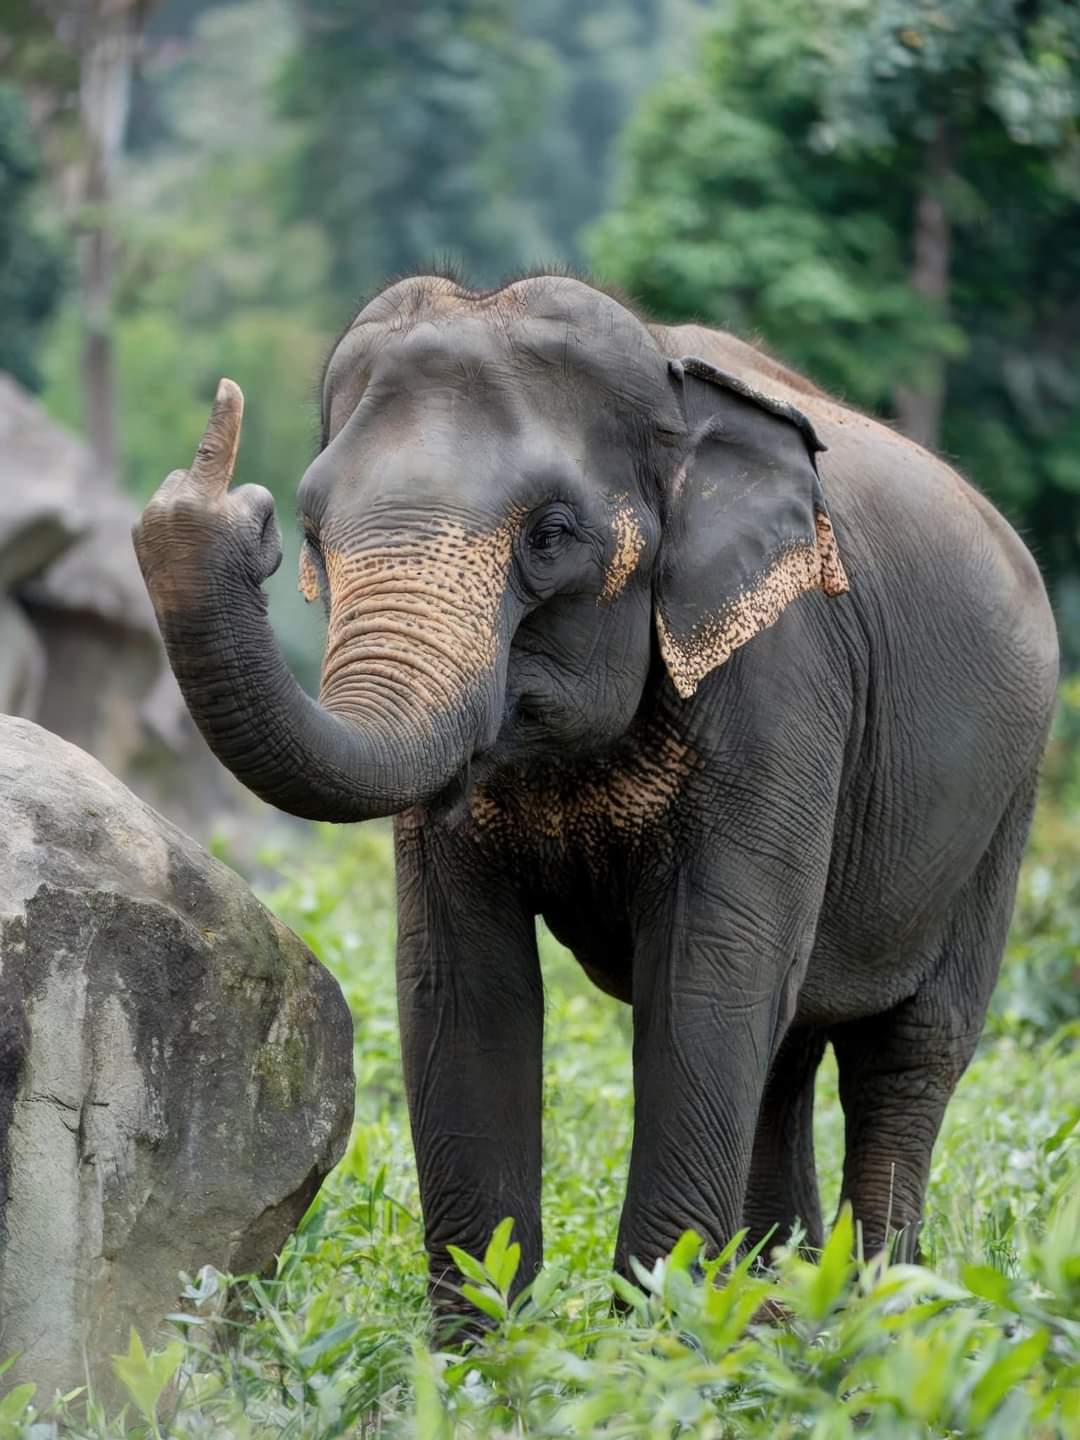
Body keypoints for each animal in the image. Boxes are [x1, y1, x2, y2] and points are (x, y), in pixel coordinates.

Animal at [133, 273, 1058, 1313]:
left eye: (551, 535)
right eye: (310, 532)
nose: (227, 507)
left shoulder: (786, 681)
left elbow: (709, 971)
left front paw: (656, 1336)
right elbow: (459, 979)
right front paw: (489, 1344)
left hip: (1005, 801)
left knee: (906, 1052)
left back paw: (878, 1317)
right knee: (785, 1050)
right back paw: (783, 1315)